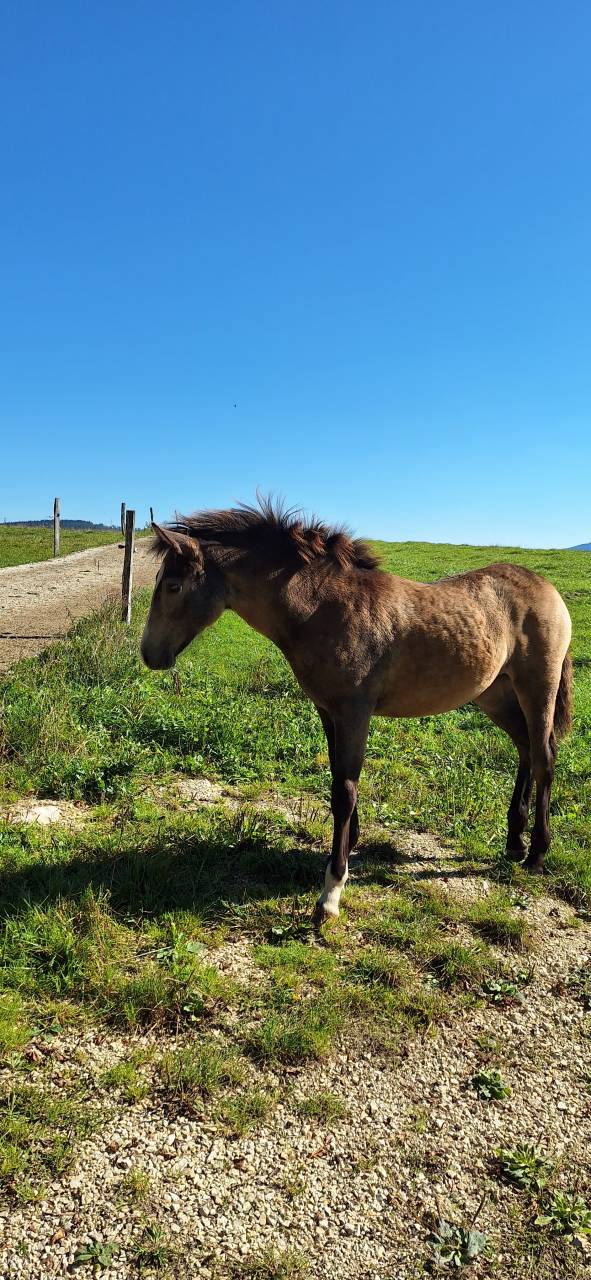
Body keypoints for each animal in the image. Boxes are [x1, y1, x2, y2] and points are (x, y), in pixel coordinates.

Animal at [140, 500, 572, 924]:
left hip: (538, 686)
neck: (324, 609)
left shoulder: (354, 713)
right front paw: (350, 847)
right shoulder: (328, 710)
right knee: (525, 748)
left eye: (173, 585)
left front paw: (331, 890)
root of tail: (546, 587)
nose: (149, 655)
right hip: (494, 693)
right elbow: (338, 780)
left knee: (544, 757)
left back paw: (537, 854)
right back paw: (514, 842)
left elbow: (344, 791)